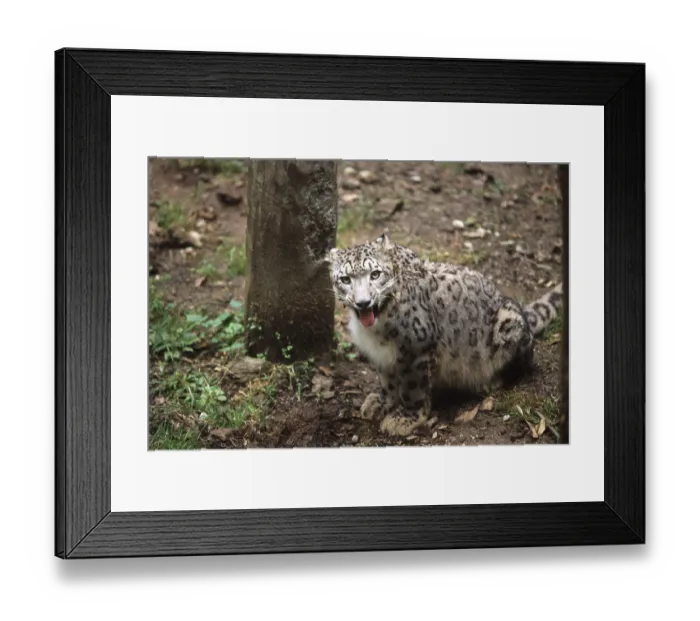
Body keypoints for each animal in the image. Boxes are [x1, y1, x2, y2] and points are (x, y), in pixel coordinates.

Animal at [328, 233, 564, 437]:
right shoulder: (382, 355)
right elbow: (388, 382)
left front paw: (404, 419)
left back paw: (490, 380)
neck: (376, 332)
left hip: (509, 323)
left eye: (375, 274)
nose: (363, 302)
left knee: (524, 363)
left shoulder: (417, 349)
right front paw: (380, 403)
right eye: (345, 279)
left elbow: (412, 389)